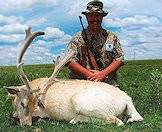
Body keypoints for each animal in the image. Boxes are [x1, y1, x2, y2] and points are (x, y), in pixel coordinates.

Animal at [5, 27, 144, 126]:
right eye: (23, 104)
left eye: (35, 104)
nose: (27, 124)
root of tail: (127, 100)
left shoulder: (42, 111)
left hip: (81, 101)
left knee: (116, 121)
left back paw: (75, 120)